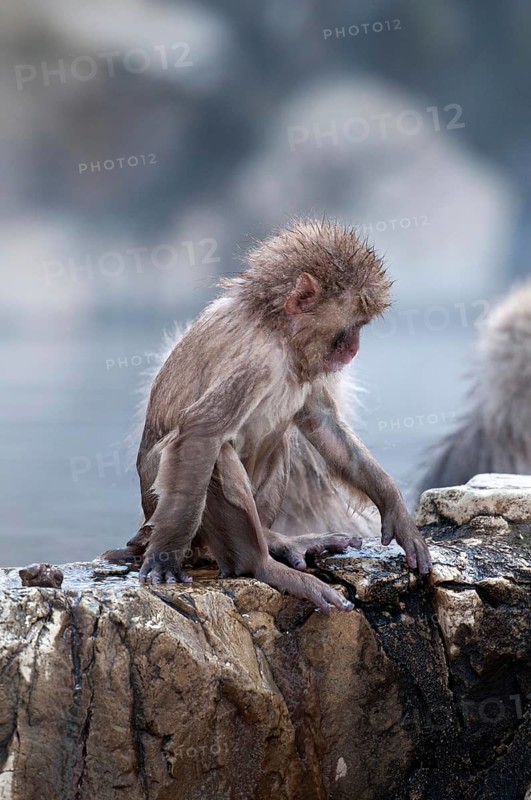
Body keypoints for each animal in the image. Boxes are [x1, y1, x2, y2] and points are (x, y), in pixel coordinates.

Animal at [106, 219, 432, 612]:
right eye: (351, 327)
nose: (354, 348)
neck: (277, 329)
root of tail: (143, 527)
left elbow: (322, 424)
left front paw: (395, 507)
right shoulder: (256, 360)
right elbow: (201, 430)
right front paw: (166, 558)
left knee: (279, 443)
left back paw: (276, 539)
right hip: (169, 515)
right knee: (217, 454)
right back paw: (259, 564)